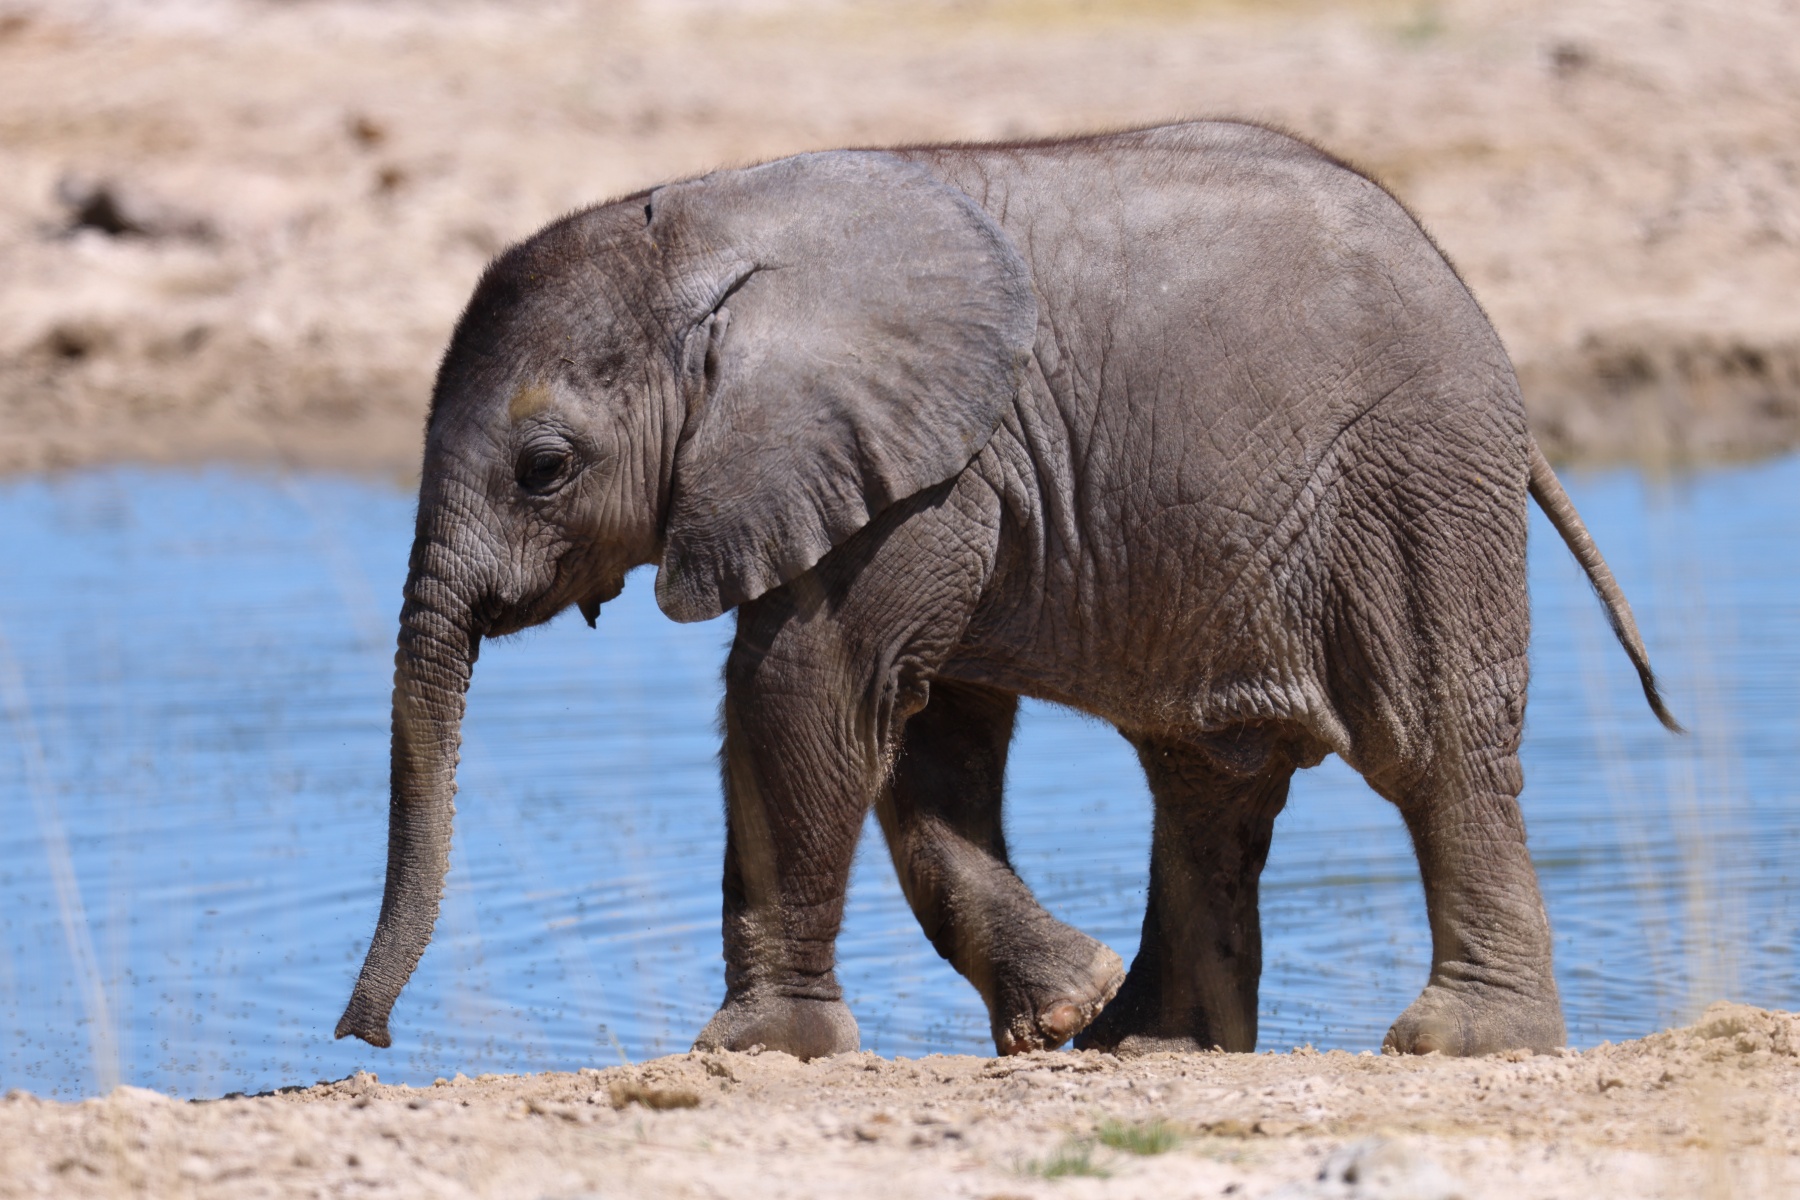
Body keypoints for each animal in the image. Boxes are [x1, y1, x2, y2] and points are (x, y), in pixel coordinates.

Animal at [335, 120, 1678, 1063]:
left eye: (543, 468)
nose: (363, 1038)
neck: (703, 227)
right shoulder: (931, 467)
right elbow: (921, 732)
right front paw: (1059, 1011)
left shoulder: (926, 469)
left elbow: (809, 686)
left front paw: (755, 1053)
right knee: (1207, 781)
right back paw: (1147, 1044)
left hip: (1411, 485)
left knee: (1432, 747)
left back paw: (1457, 1044)